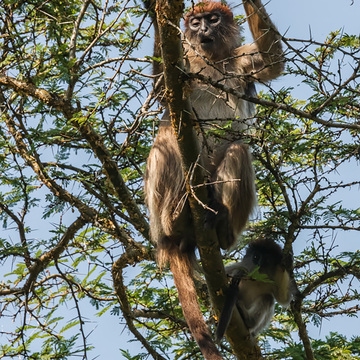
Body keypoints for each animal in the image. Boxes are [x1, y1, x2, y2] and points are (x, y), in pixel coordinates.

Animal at [143, 0, 284, 358]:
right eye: (195, 23)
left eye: (213, 19)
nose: (203, 29)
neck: (213, 61)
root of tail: (165, 239)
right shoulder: (187, 62)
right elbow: (162, 89)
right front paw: (156, 12)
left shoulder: (240, 61)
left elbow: (273, 59)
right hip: (160, 205)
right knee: (169, 134)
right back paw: (178, 214)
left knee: (238, 148)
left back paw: (220, 226)